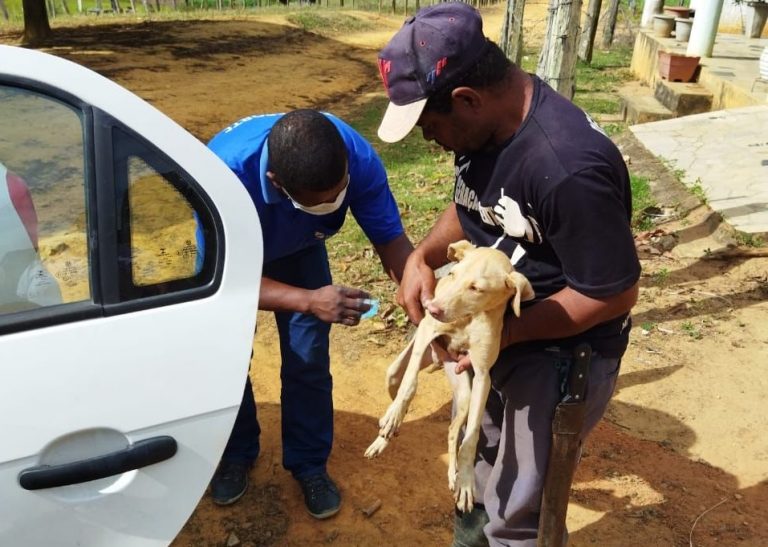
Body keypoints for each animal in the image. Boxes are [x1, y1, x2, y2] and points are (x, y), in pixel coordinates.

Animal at [364, 240, 536, 512]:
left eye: (476, 288)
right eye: (453, 274)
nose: (433, 308)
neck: (468, 318)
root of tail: (438, 361)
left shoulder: (482, 375)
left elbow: (472, 434)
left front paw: (465, 480)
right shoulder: (427, 332)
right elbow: (409, 384)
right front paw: (392, 419)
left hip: (464, 391)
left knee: (455, 430)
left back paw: (452, 473)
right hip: (406, 365)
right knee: (397, 386)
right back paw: (387, 429)